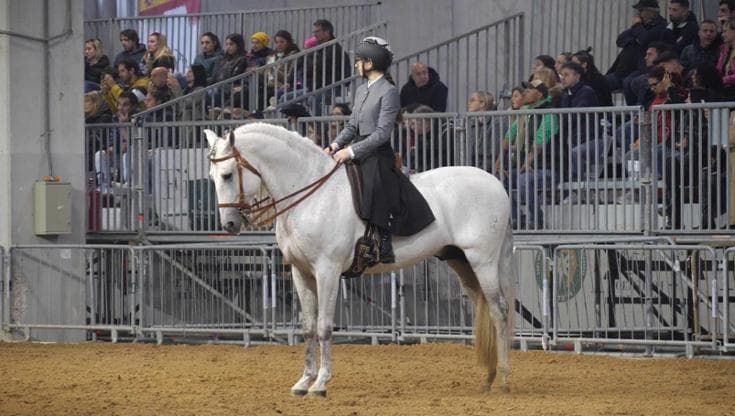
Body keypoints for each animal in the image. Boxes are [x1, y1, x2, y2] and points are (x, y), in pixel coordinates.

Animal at [205, 123, 515, 396]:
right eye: (212, 176)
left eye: (228, 175)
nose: (229, 224)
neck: (311, 195)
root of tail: (496, 184)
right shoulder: (301, 272)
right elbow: (308, 327)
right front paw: (304, 382)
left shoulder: (327, 271)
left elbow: (324, 327)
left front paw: (321, 383)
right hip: (460, 261)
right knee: (483, 309)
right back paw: (488, 378)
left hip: (483, 261)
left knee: (498, 311)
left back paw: (503, 379)